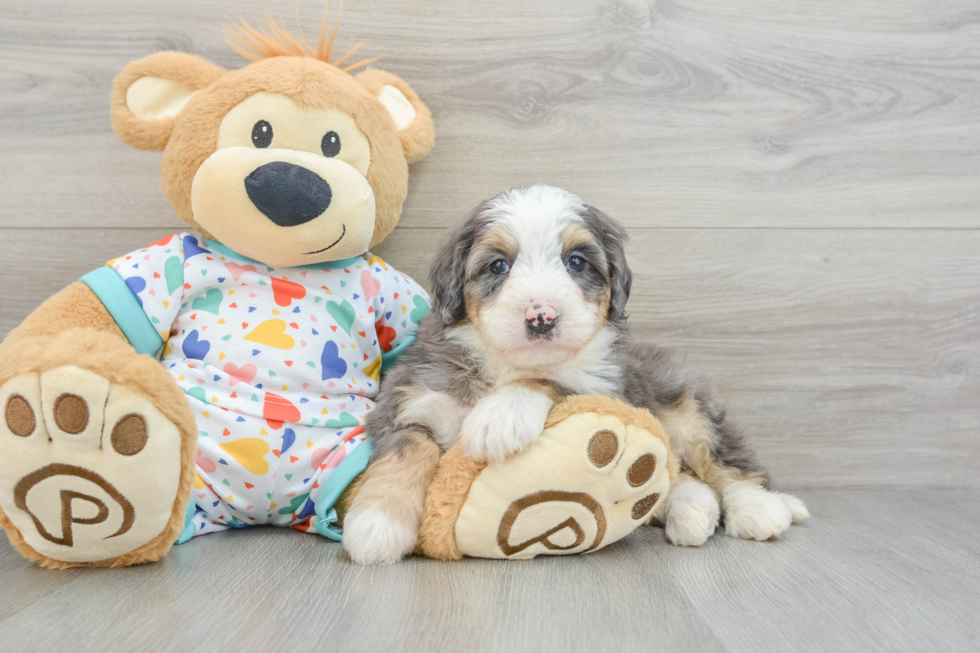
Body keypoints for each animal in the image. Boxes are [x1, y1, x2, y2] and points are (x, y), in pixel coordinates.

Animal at [342, 186, 804, 564]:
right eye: (498, 266)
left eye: (576, 262)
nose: (541, 317)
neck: (504, 364)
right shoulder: (411, 397)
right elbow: (406, 451)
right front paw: (376, 524)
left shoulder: (604, 386)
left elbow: (551, 378)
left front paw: (500, 418)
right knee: (680, 477)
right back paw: (692, 510)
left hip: (687, 407)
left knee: (727, 463)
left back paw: (760, 509)